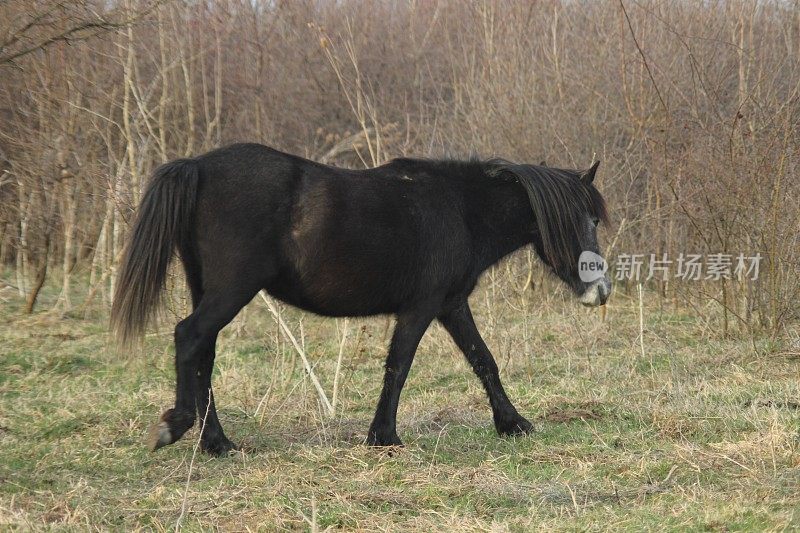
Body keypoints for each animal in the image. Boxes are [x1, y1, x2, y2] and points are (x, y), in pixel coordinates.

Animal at [112, 143, 608, 456]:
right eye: (585, 220)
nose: (600, 291)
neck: (461, 209)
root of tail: (197, 166)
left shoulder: (451, 305)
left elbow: (483, 360)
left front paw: (512, 424)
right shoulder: (421, 307)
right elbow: (399, 367)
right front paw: (383, 436)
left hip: (210, 290)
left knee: (204, 354)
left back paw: (217, 444)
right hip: (230, 291)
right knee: (188, 337)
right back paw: (177, 426)